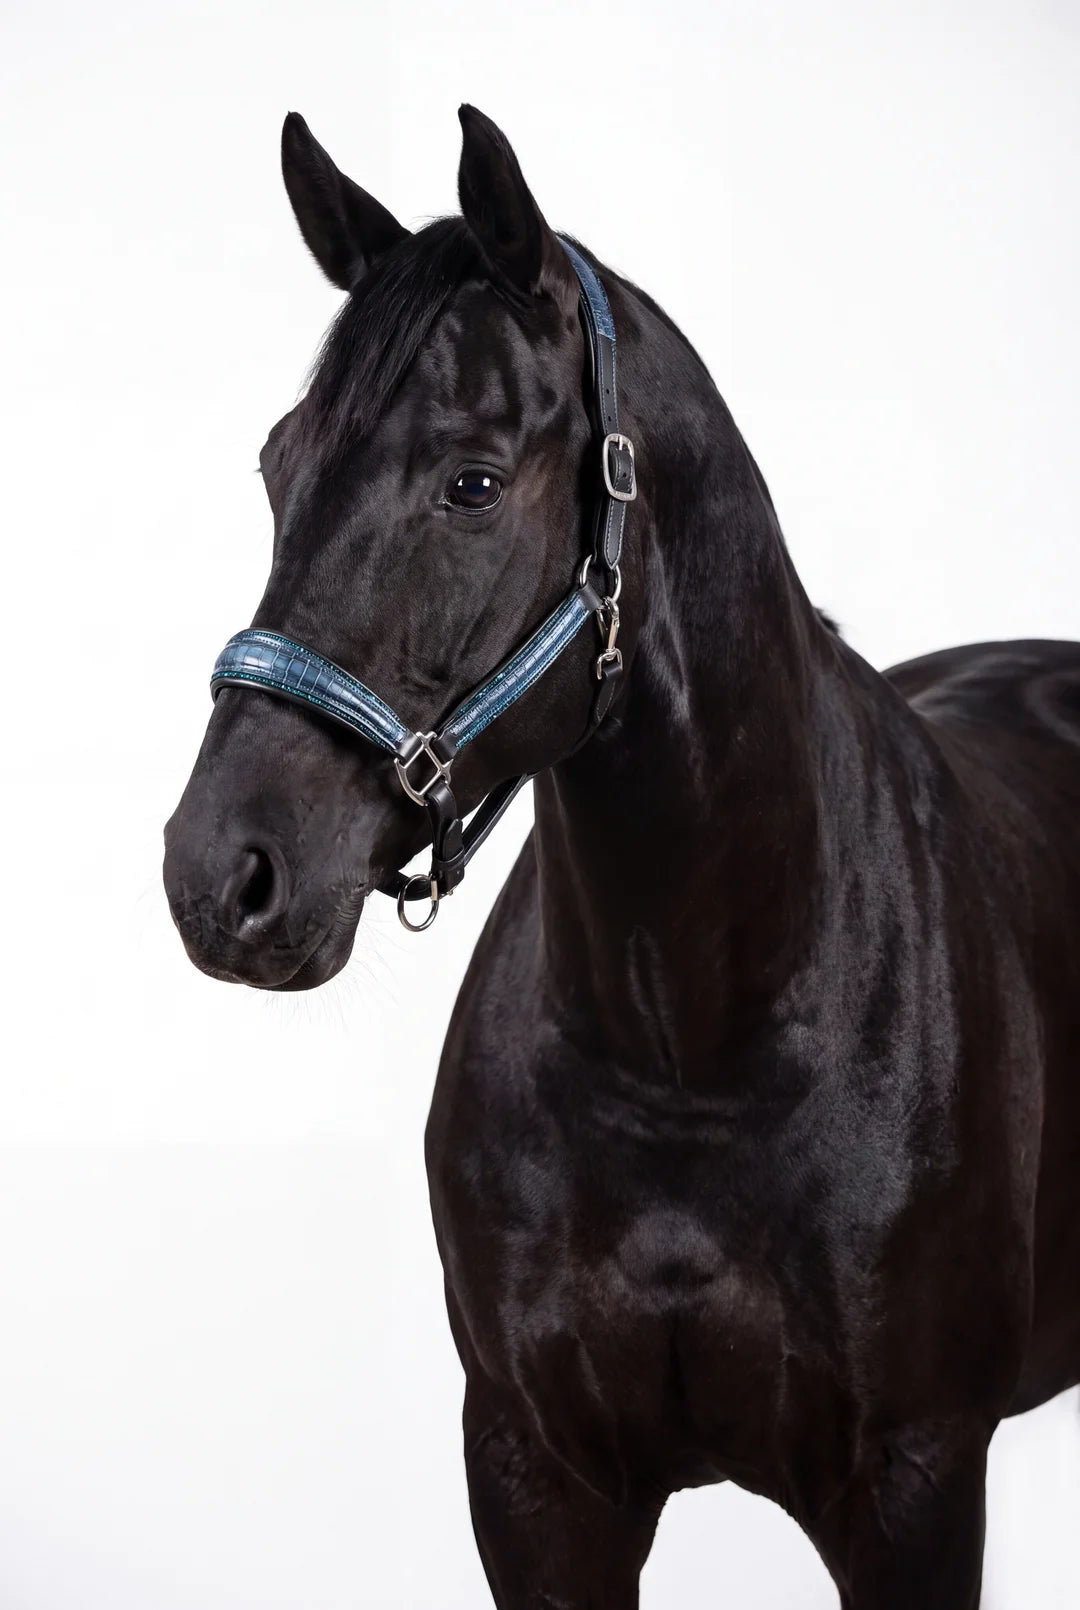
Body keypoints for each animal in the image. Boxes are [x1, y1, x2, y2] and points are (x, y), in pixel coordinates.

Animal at [163, 105, 1080, 1608]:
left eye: (474, 482)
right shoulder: (540, 1476)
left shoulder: (918, 1483)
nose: (221, 870)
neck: (689, 1042)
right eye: (275, 463)